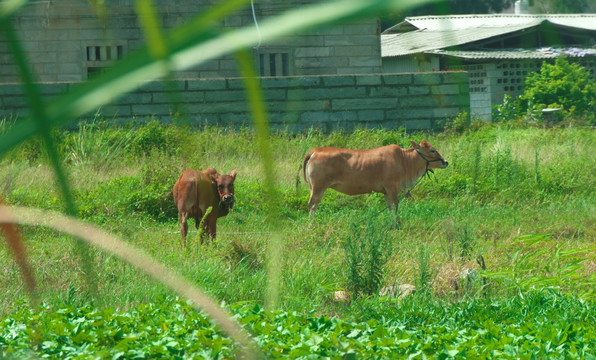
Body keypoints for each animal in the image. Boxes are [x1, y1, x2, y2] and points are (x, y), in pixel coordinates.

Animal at [302, 142, 448, 224]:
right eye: (432, 150)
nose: (445, 162)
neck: (404, 160)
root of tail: (316, 150)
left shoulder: (386, 192)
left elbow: (390, 208)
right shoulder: (392, 188)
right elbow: (395, 207)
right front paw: (397, 225)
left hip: (312, 188)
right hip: (318, 188)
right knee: (312, 206)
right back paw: (311, 225)